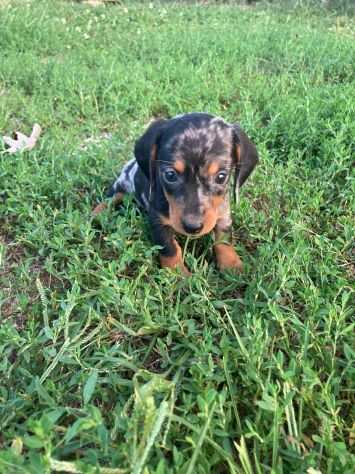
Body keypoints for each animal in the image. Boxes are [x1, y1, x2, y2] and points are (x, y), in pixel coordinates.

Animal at [94, 113, 258, 274]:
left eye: (221, 177)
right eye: (170, 175)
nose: (193, 227)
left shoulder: (223, 214)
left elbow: (223, 240)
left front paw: (232, 266)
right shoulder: (157, 220)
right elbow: (170, 248)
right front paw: (178, 274)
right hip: (121, 184)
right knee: (110, 198)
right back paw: (97, 215)